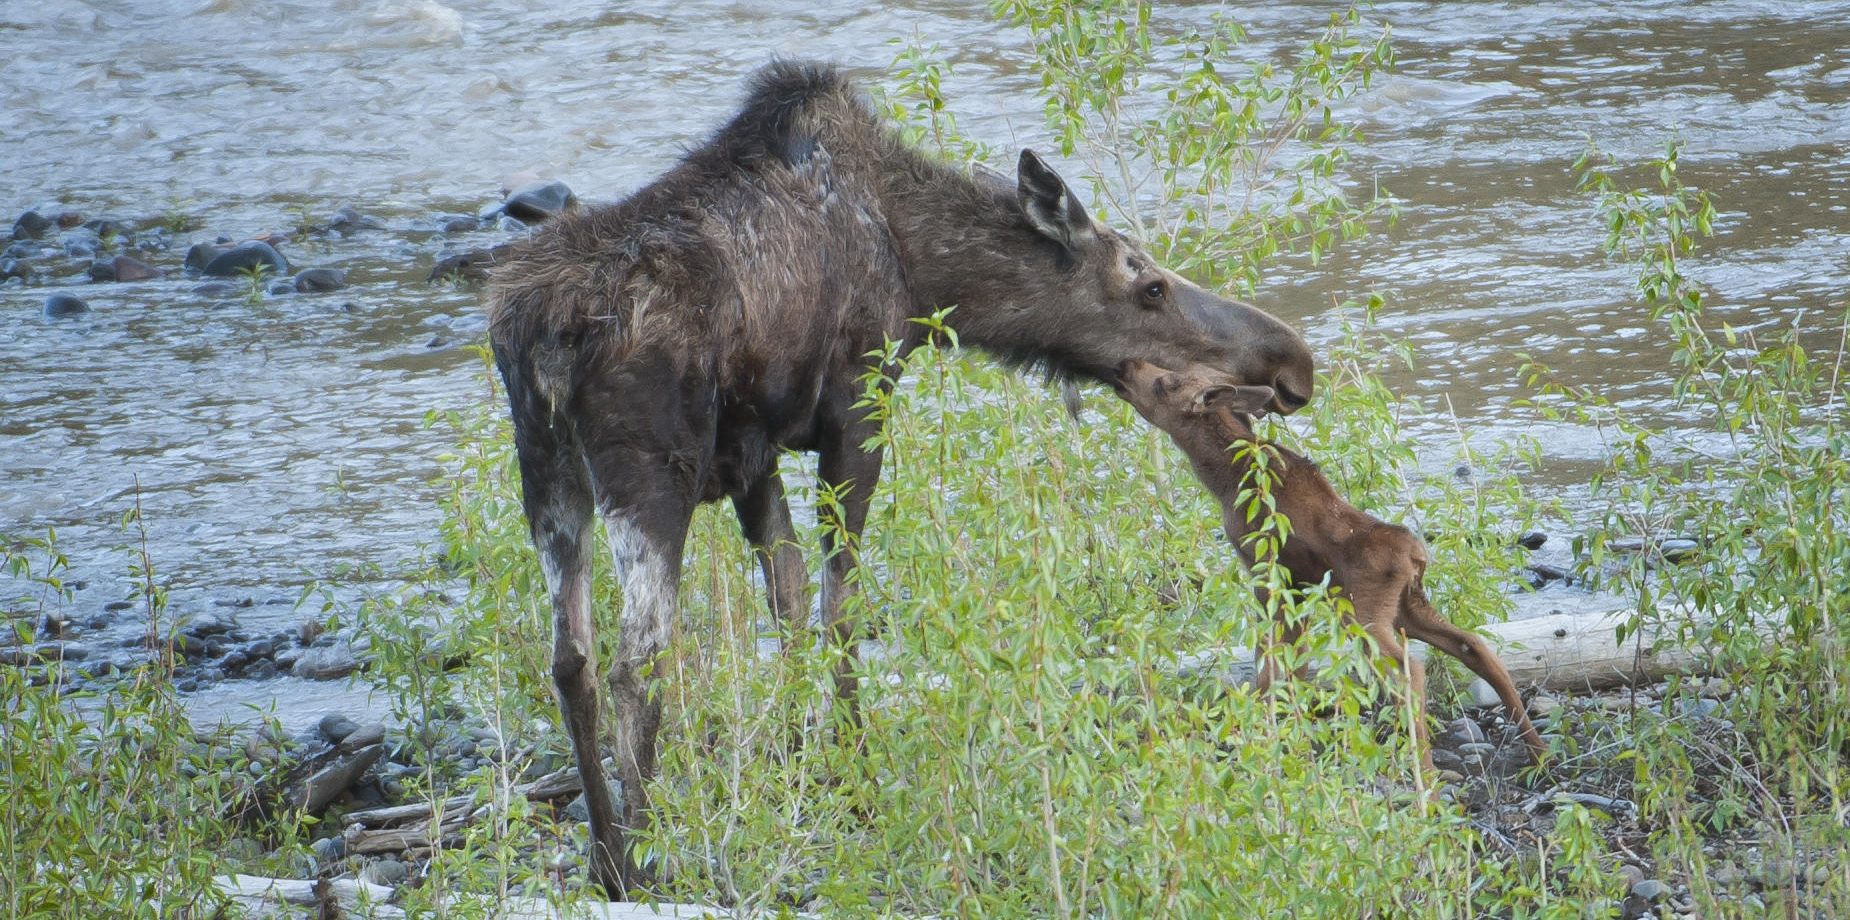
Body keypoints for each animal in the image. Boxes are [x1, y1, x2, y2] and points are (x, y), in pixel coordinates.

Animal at [492, 61, 1317, 892]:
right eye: (1149, 287)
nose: (1292, 362)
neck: (920, 268)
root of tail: (544, 338)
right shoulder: (858, 405)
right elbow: (840, 607)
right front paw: (854, 776)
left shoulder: (754, 457)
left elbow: (788, 600)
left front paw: (798, 767)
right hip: (651, 475)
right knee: (640, 658)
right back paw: (637, 859)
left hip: (547, 475)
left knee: (571, 659)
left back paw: (602, 851)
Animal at [1110, 359, 1546, 766]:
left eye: (1166, 383)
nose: (1127, 366)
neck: (1222, 477)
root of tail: (1416, 554)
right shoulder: (1299, 585)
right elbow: (1294, 665)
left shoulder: (1265, 569)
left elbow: (1268, 663)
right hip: (1408, 607)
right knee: (1476, 645)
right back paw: (1538, 752)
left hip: (1365, 613)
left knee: (1409, 672)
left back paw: (1426, 776)